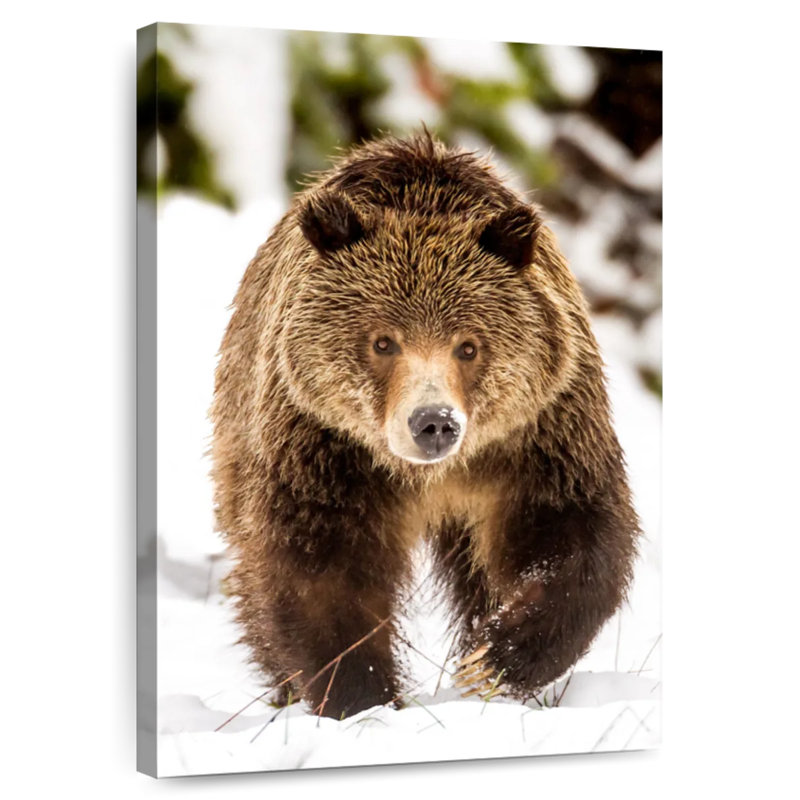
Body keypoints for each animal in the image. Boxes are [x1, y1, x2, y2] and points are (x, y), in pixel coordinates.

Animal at [210, 132, 640, 720]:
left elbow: (572, 538)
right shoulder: (324, 451)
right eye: (382, 341)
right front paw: (361, 697)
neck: (429, 475)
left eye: (469, 345)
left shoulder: (539, 435)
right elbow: (319, 573)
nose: (433, 422)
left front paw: (492, 660)